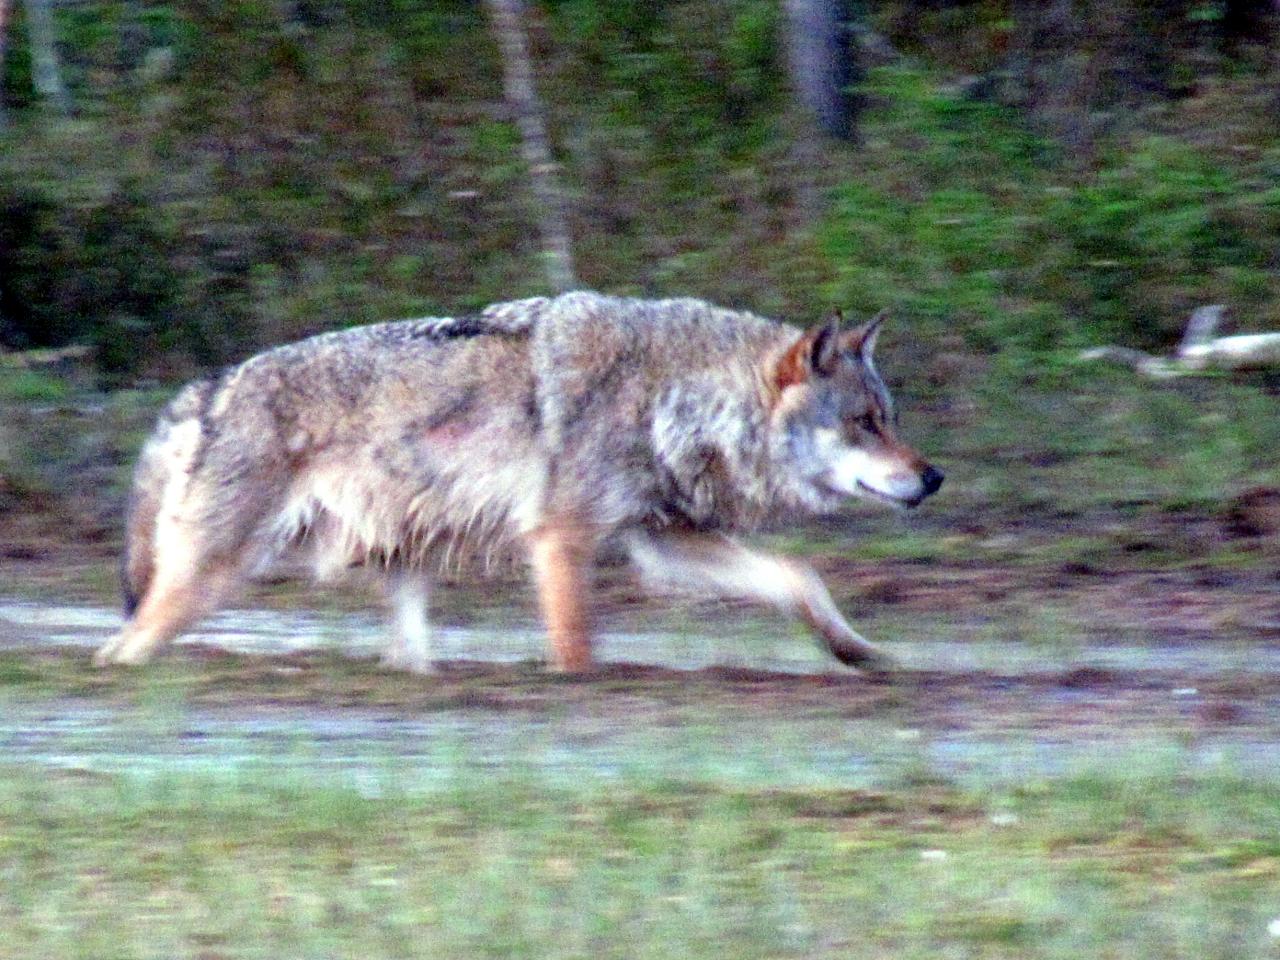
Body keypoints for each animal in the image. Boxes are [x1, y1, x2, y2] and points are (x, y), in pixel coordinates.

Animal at [92, 293, 942, 675]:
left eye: (890, 417)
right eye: (865, 422)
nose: (933, 478)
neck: (672, 394)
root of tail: (211, 386)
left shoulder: (661, 541)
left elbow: (798, 577)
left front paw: (855, 650)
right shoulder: (561, 540)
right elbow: (577, 645)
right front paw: (575, 684)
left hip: (400, 569)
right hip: (209, 578)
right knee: (123, 645)